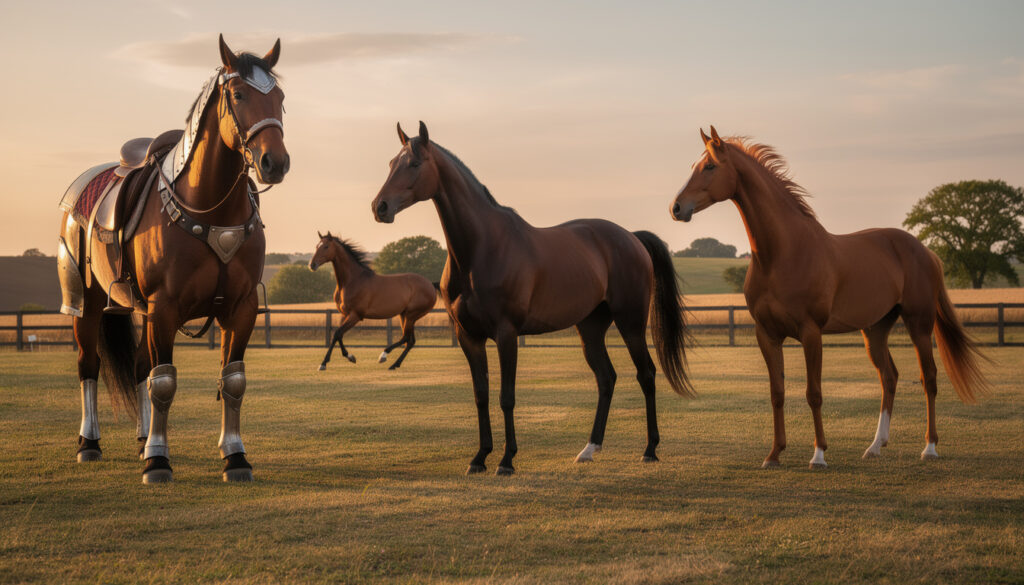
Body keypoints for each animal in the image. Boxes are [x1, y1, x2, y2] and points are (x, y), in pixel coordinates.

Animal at [56, 35, 289, 483]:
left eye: (281, 99)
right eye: (238, 94)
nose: (276, 163)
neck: (212, 209)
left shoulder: (241, 308)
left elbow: (232, 381)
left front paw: (235, 457)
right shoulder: (165, 307)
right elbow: (163, 382)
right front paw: (158, 462)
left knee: (139, 367)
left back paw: (143, 438)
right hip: (85, 303)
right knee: (89, 365)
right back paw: (89, 443)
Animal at [308, 232, 437, 370]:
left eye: (326, 246)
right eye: (317, 246)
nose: (312, 265)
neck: (352, 281)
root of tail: (431, 284)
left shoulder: (356, 315)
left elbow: (337, 333)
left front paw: (324, 363)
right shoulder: (345, 314)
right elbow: (338, 335)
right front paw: (350, 357)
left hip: (411, 315)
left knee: (406, 338)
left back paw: (384, 356)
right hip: (405, 315)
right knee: (410, 341)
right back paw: (394, 364)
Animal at [371, 122, 692, 475]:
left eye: (414, 163)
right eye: (391, 163)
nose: (379, 207)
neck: (482, 249)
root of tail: (631, 237)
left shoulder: (507, 334)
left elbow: (506, 397)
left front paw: (507, 460)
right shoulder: (468, 336)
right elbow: (481, 395)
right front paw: (479, 457)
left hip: (630, 323)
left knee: (646, 374)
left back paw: (650, 449)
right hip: (590, 328)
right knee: (606, 378)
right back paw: (589, 449)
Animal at [670, 126, 987, 469]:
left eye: (710, 166)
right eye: (693, 166)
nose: (676, 208)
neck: (783, 254)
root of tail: (924, 251)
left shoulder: (811, 333)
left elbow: (814, 393)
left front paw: (819, 454)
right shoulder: (766, 334)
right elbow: (777, 393)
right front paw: (774, 454)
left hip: (919, 324)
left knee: (928, 377)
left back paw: (929, 448)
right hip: (875, 330)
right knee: (889, 377)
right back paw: (875, 445)